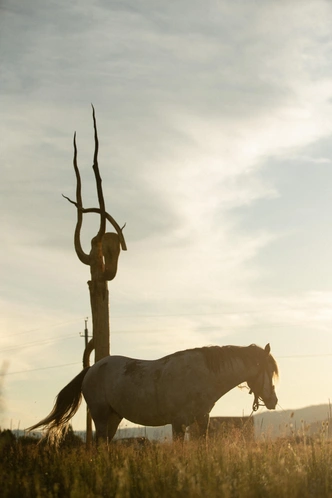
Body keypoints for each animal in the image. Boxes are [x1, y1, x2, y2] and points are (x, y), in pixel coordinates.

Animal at [27, 342, 278, 444]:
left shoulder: (202, 419)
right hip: (100, 415)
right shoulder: (178, 423)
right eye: (268, 370)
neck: (202, 375)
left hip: (114, 417)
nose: (273, 401)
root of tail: (92, 369)